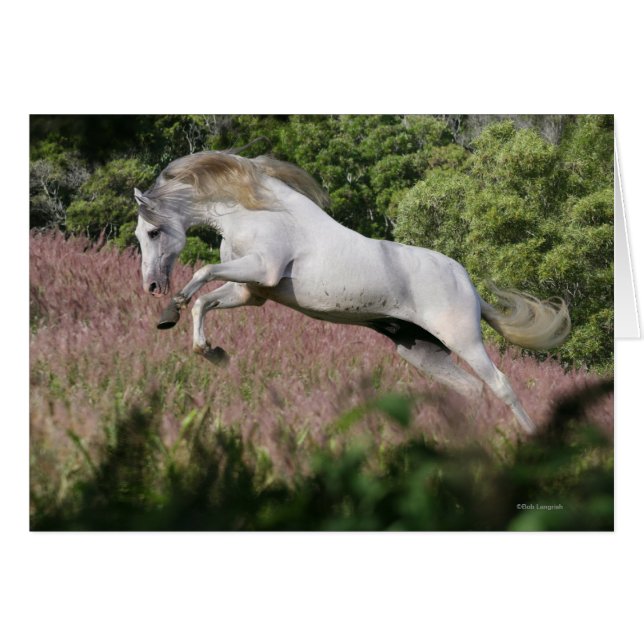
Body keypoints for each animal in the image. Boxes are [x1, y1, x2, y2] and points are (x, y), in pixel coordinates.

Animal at [134, 150, 571, 434]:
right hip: (420, 350)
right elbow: (204, 301)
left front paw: (171, 311)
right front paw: (209, 350)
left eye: (153, 232)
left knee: (500, 385)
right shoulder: (250, 292)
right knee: (472, 390)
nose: (152, 286)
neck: (256, 212)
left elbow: (203, 273)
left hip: (463, 340)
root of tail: (471, 288)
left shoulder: (263, 270)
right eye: (140, 234)